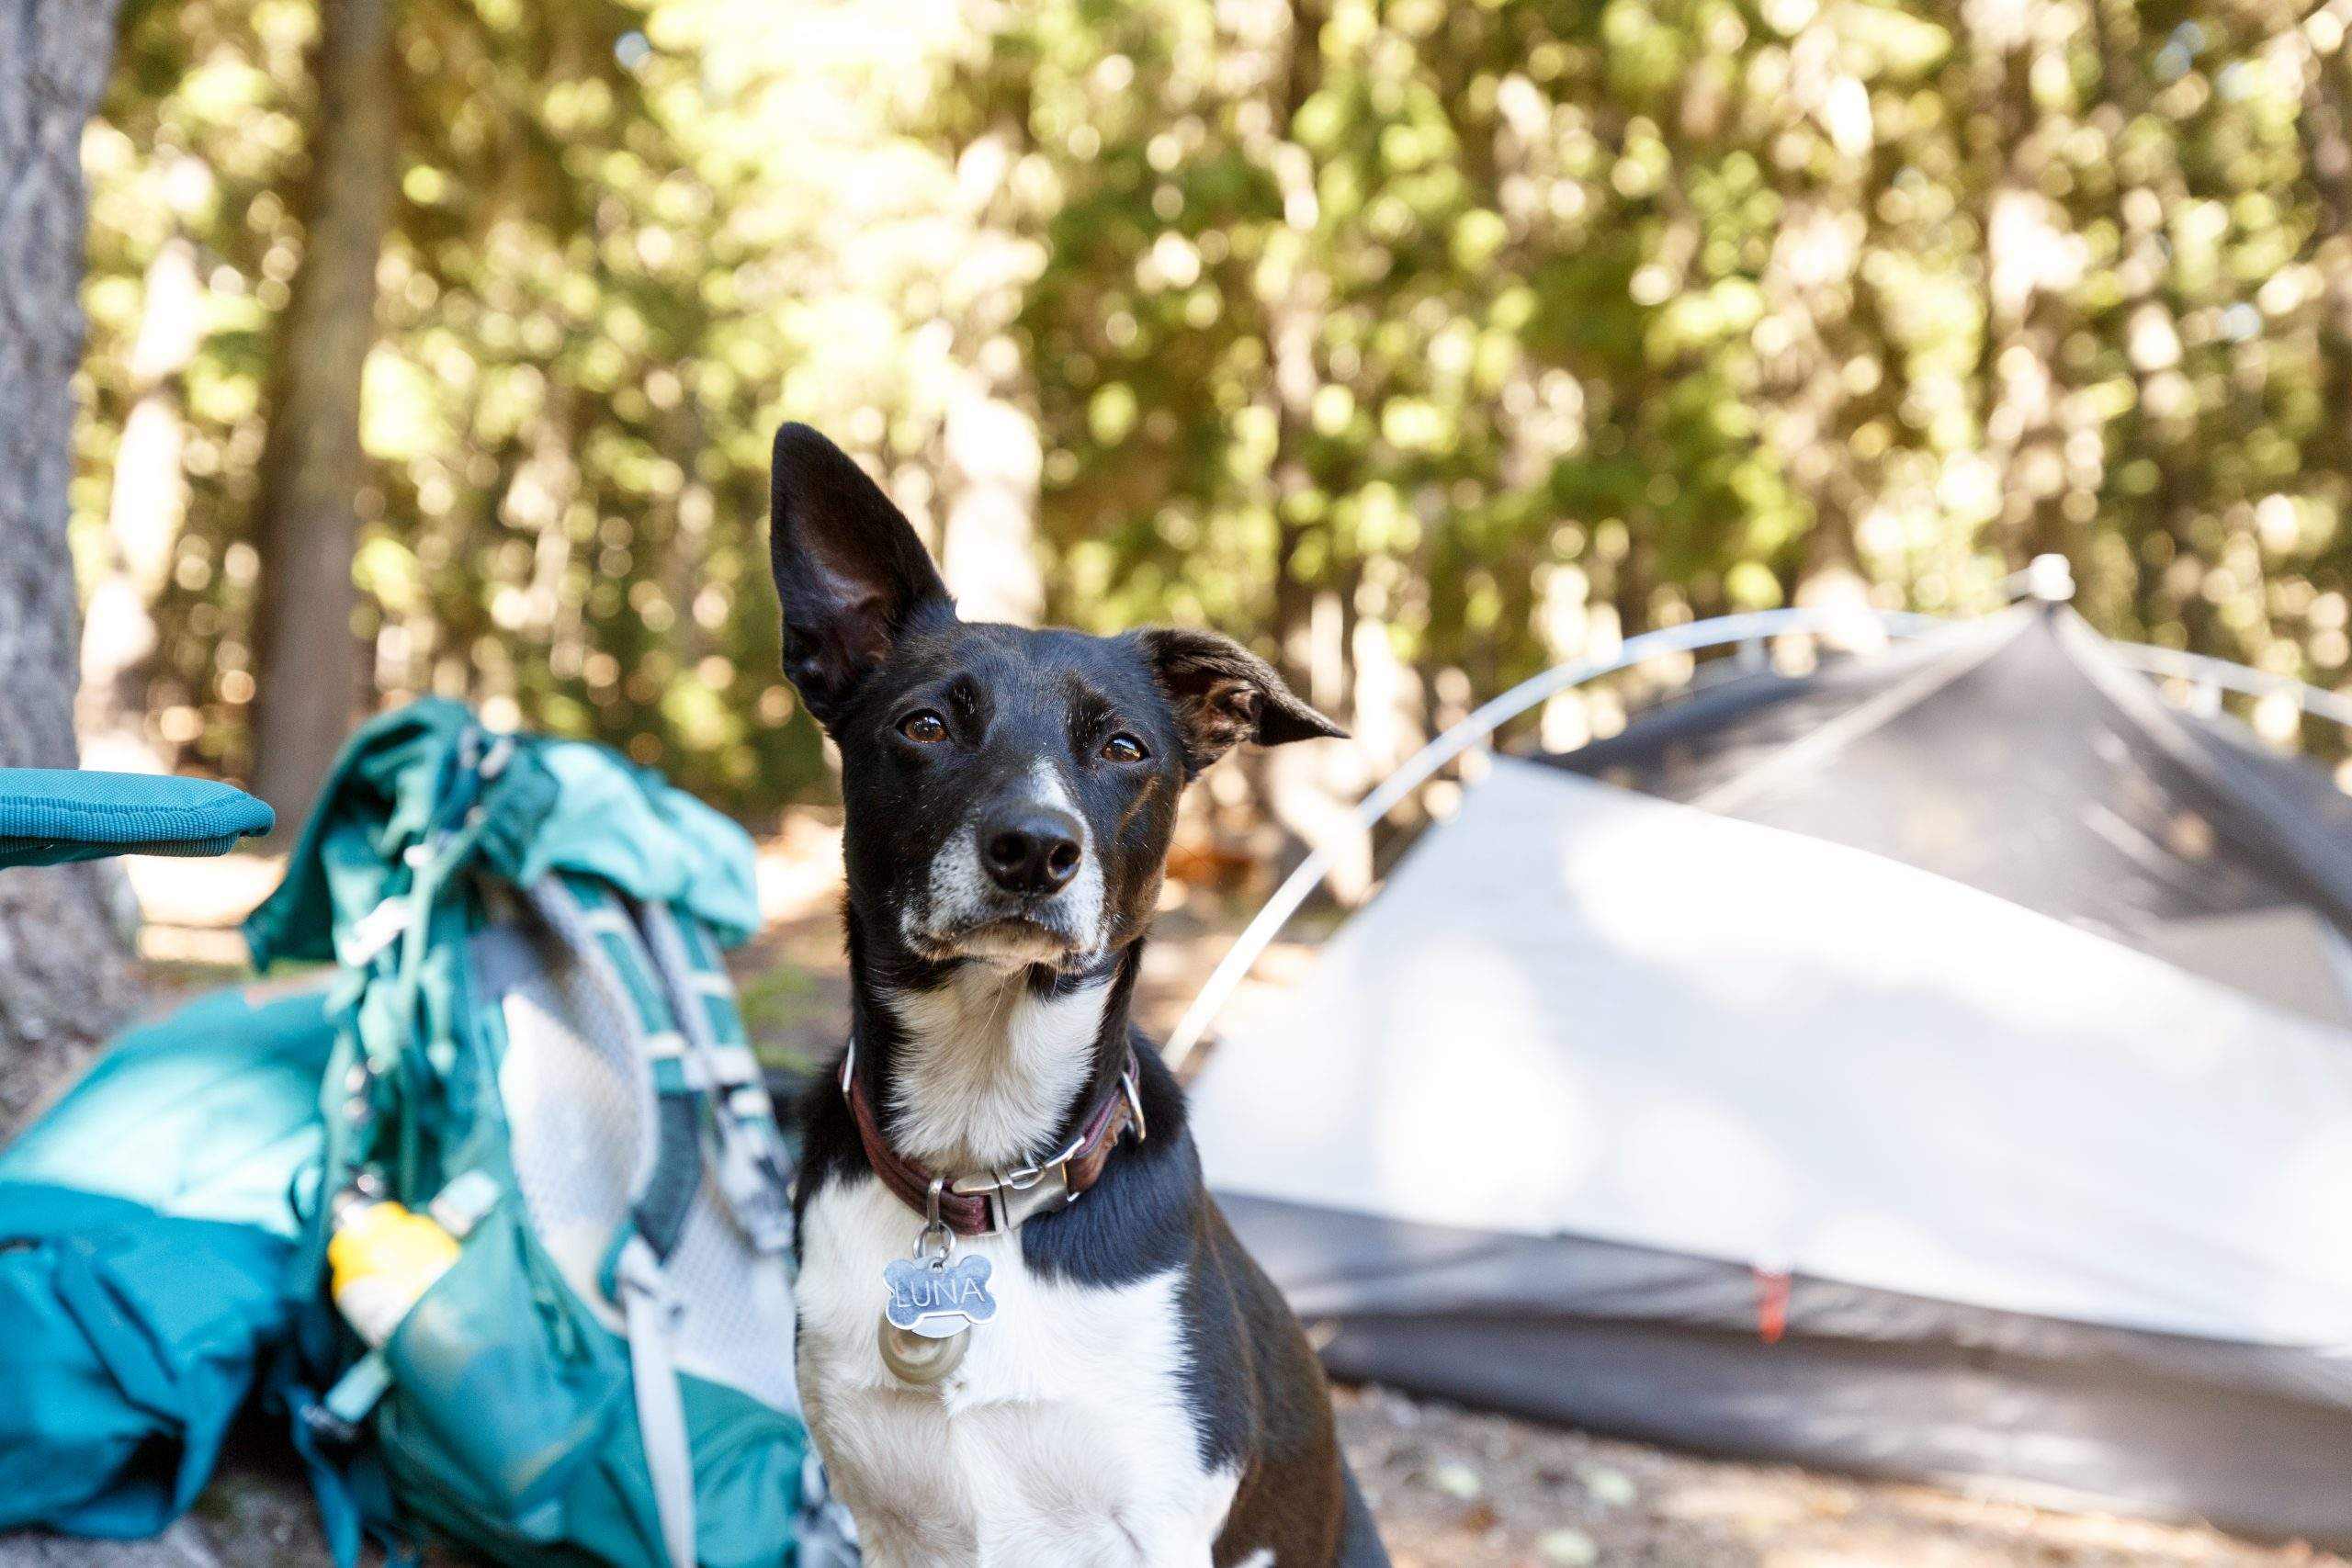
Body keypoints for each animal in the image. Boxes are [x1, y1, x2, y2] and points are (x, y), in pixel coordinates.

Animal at [771, 421, 1383, 1568]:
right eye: (925, 725)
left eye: (1123, 747)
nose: (1034, 848)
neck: (979, 1166)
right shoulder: (878, 1516)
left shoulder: (1157, 1522)